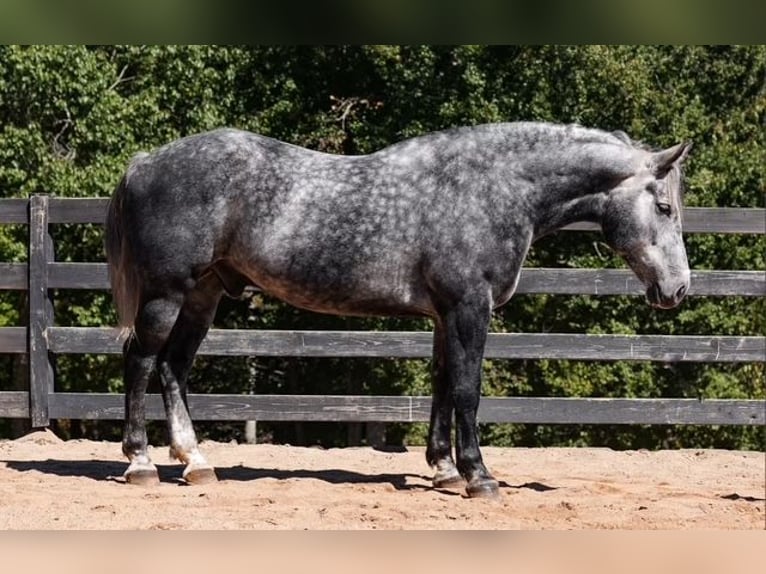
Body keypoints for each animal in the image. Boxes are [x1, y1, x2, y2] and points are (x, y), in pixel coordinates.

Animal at [105, 121, 691, 498]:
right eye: (663, 207)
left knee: (174, 368)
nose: (679, 288)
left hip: (202, 297)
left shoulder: (444, 316)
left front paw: (444, 470)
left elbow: (441, 383)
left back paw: (196, 463)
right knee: (141, 363)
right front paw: (479, 477)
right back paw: (141, 463)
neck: (494, 188)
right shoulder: (469, 308)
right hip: (166, 295)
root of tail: (145, 162)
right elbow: (467, 390)